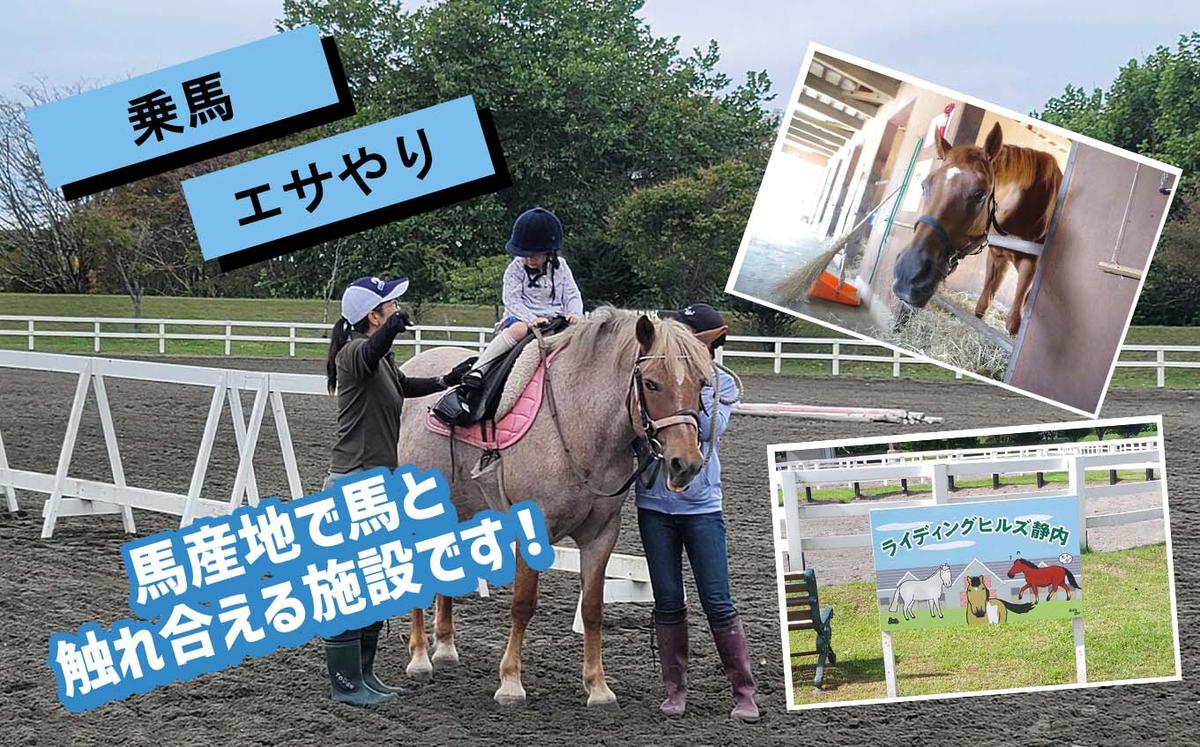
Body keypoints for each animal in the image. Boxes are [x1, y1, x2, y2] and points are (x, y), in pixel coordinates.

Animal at [393, 307, 714, 707]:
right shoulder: (534, 528)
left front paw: (598, 686)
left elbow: (592, 608)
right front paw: (510, 682)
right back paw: (420, 658)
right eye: (652, 383)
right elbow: (523, 603)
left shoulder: (601, 535)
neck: (580, 425)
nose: (685, 464)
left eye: (702, 383)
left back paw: (446, 649)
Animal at [892, 122, 1063, 336]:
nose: (908, 273)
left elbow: (1013, 324)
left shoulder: (1029, 264)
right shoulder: (997, 257)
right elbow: (981, 310)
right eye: (924, 185)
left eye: (980, 194)